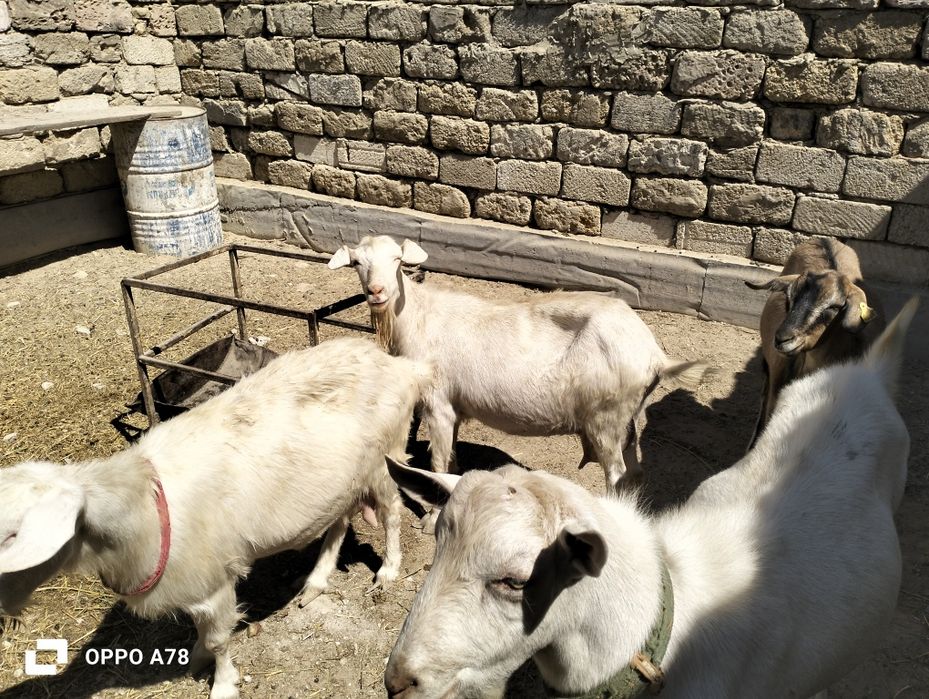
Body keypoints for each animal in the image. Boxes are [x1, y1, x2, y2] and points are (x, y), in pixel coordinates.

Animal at [0, 337, 431, 699]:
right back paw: (314, 583)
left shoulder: (213, 583)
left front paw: (222, 682)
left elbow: (218, 639)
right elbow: (201, 636)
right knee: (339, 523)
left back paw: (388, 571)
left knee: (392, 514)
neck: (144, 512)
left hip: (385, 459)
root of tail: (399, 365)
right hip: (342, 482)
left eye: (14, 535)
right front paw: (195, 659)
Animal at [328, 235, 712, 495]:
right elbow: (451, 458)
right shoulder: (454, 406)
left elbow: (437, 462)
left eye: (396, 259)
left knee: (616, 475)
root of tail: (654, 354)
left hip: (607, 417)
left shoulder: (438, 405)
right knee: (633, 474)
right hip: (628, 418)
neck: (416, 316)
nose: (377, 292)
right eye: (358, 263)